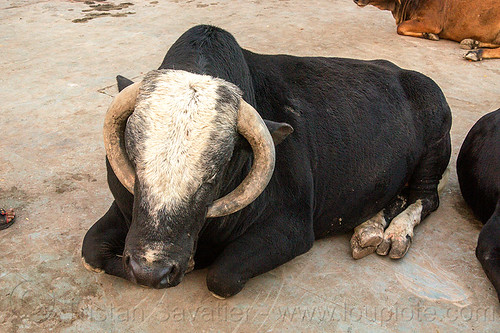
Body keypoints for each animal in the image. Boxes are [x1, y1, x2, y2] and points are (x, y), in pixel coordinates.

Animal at [83, 24, 454, 296]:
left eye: (213, 176)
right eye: (135, 160)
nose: (151, 270)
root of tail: (410, 77)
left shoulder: (292, 228)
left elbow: (222, 276)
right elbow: (91, 250)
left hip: (435, 149)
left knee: (425, 197)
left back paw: (394, 235)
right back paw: (370, 229)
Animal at [352, 0, 500, 61]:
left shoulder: (432, 22)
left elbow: (400, 27)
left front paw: (429, 35)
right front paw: (428, 34)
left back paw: (476, 53)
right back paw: (472, 42)